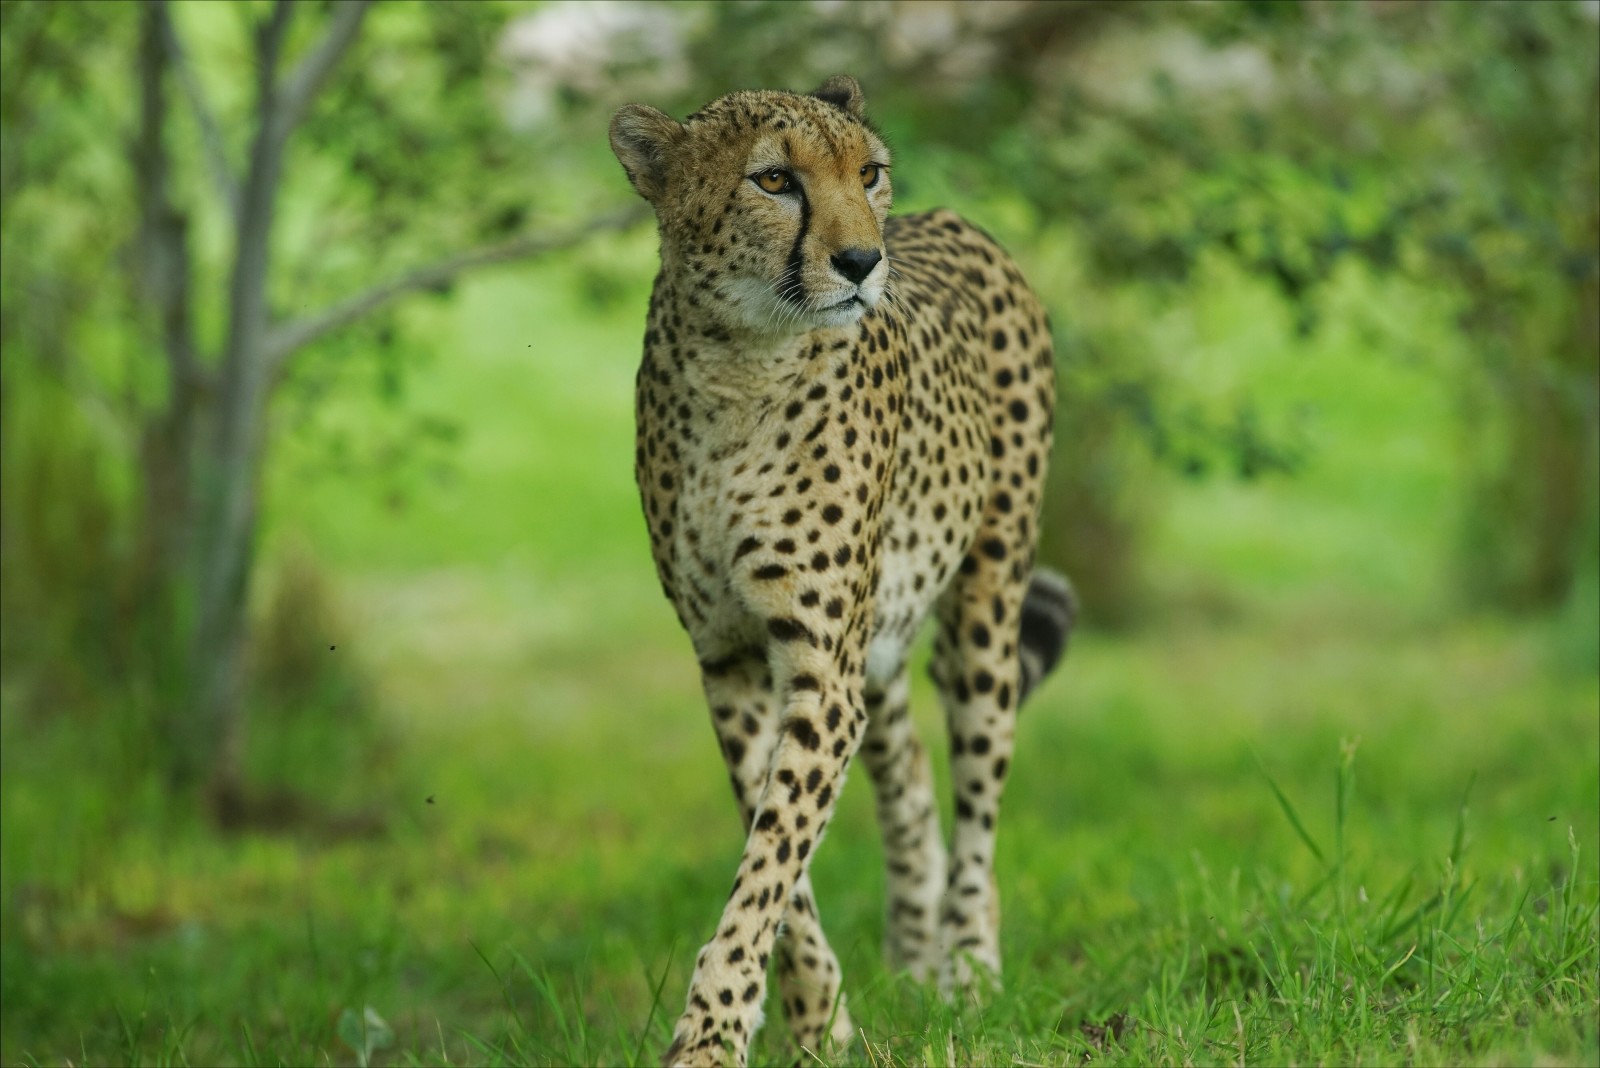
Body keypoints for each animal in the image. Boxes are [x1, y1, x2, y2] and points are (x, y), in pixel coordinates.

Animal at [608, 77, 1075, 1068]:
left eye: (870, 173)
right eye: (773, 180)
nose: (863, 260)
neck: (738, 362)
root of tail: (954, 222)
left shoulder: (821, 674)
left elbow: (770, 863)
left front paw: (712, 1034)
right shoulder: (732, 660)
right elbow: (777, 861)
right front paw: (819, 1022)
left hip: (985, 603)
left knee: (978, 803)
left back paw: (969, 971)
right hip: (884, 640)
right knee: (910, 790)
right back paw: (915, 963)